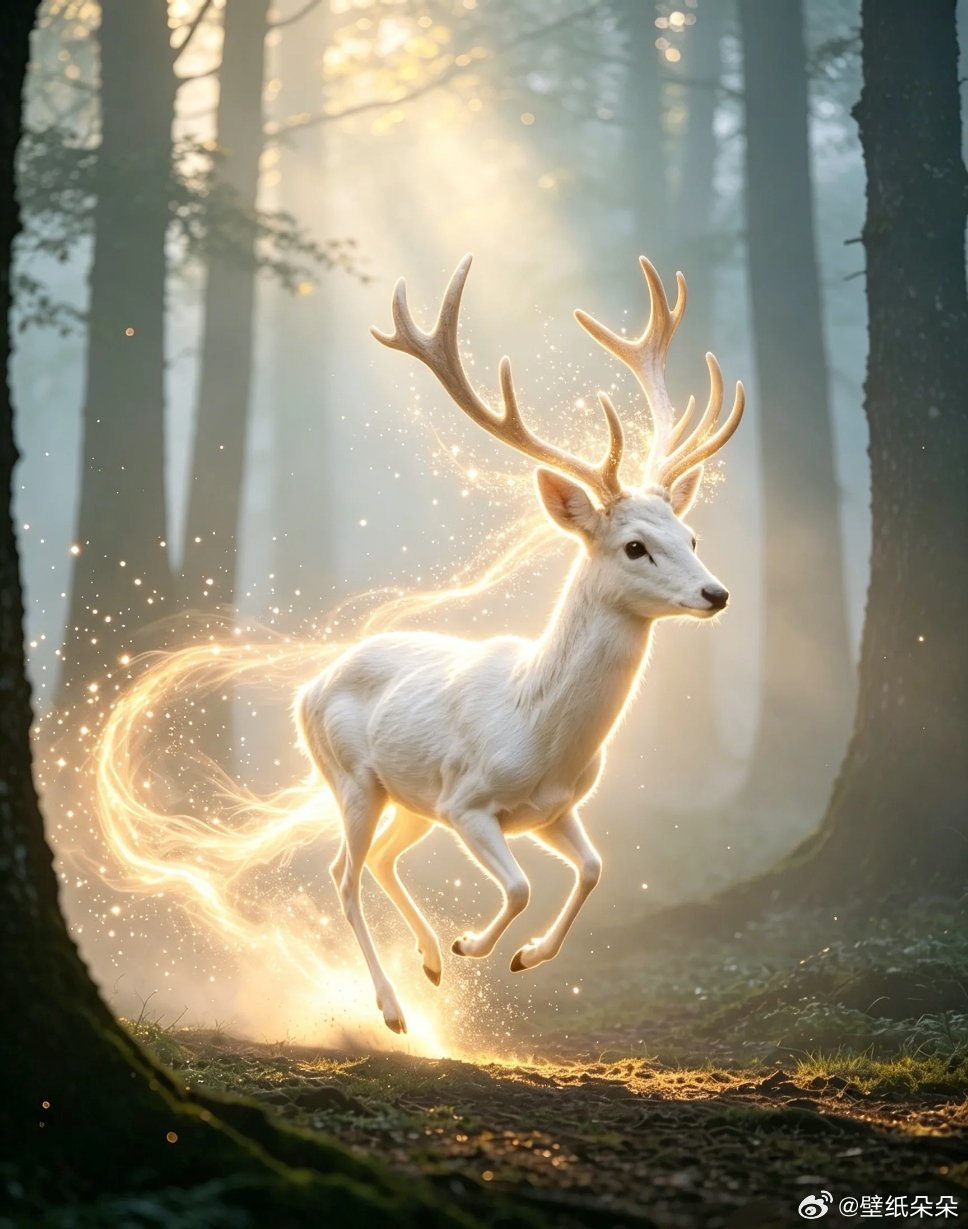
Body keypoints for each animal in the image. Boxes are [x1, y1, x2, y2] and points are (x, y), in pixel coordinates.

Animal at [296, 255, 745, 1034]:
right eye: (635, 546)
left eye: (690, 536)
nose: (715, 594)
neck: (540, 732)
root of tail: (307, 689)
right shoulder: (468, 800)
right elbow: (519, 887)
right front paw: (475, 944)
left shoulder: (555, 808)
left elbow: (594, 870)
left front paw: (522, 956)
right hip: (353, 779)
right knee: (343, 874)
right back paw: (393, 1006)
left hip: (408, 797)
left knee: (381, 860)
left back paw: (428, 961)